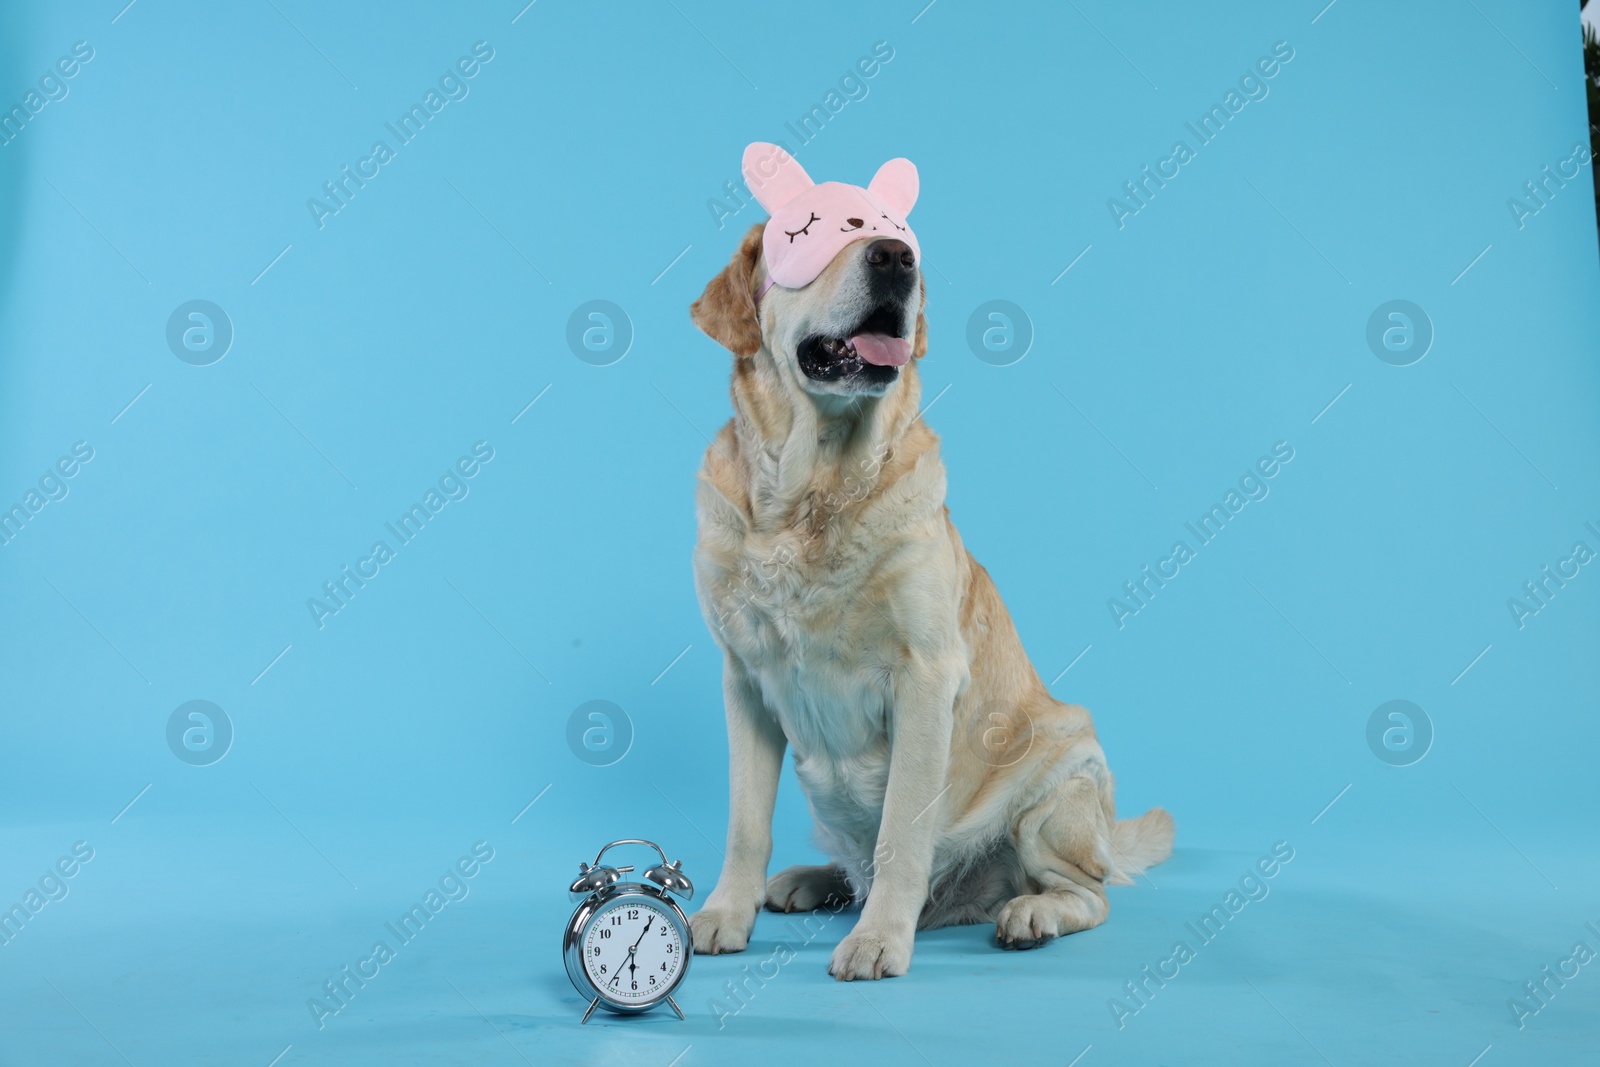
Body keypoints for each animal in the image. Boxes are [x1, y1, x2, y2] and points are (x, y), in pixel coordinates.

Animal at [681, 143, 1171, 985]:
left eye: (896, 231)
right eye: (807, 231)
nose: (894, 258)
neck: (813, 492)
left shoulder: (924, 676)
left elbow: (901, 834)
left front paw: (880, 938)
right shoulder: (742, 679)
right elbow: (746, 823)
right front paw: (725, 911)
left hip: (1058, 787)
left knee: (1089, 891)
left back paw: (1031, 911)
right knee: (855, 863)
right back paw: (810, 880)